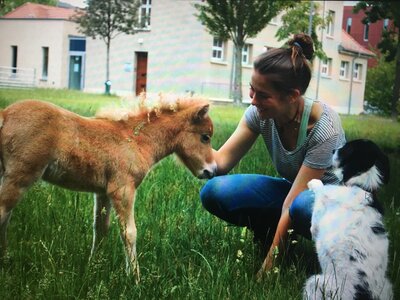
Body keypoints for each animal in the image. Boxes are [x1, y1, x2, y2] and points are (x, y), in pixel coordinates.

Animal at [304, 139, 392, 298]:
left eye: (345, 149)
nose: (333, 150)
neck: (360, 186)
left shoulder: (321, 207)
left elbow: (320, 189)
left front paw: (313, 182)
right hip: (387, 287)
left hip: (316, 283)